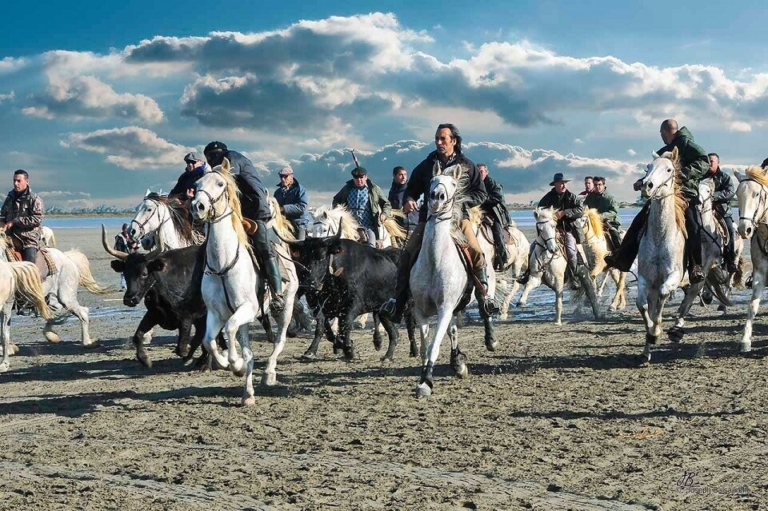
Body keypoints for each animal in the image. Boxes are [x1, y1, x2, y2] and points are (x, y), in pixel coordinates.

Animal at [191, 158, 296, 406]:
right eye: (197, 183)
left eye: (220, 183)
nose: (198, 207)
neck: (224, 262)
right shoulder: (216, 313)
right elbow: (209, 341)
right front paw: (228, 363)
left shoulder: (247, 308)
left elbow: (230, 331)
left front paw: (236, 365)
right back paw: (247, 394)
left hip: (285, 308)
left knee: (279, 340)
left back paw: (268, 373)